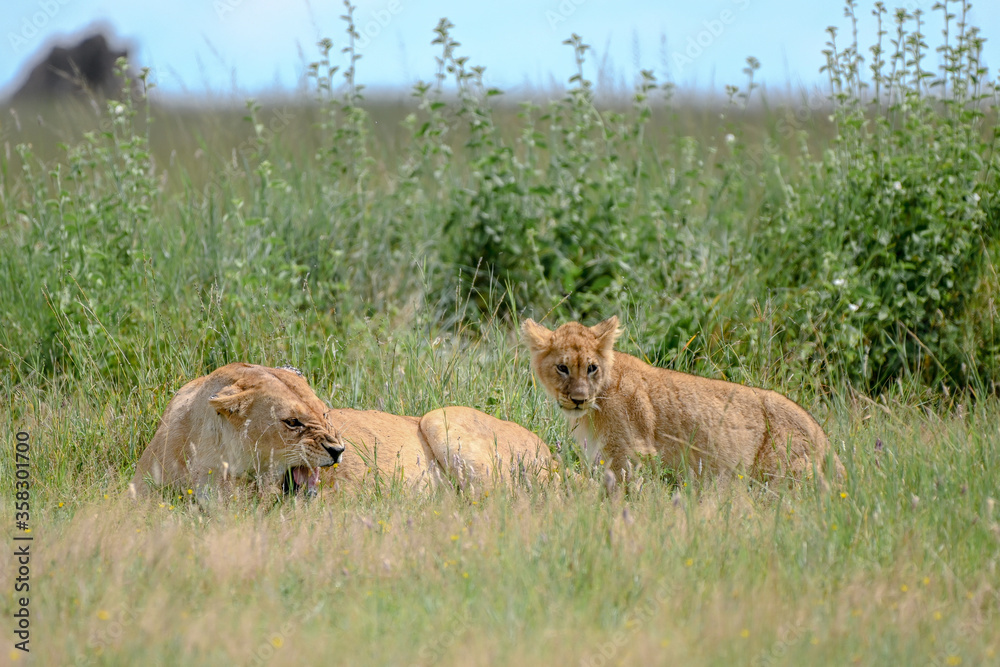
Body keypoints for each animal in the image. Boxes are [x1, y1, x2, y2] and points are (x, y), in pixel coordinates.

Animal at [521, 316, 843, 484]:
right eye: (562, 368)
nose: (578, 399)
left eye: (591, 367)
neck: (595, 406)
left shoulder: (631, 455)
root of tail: (822, 436)